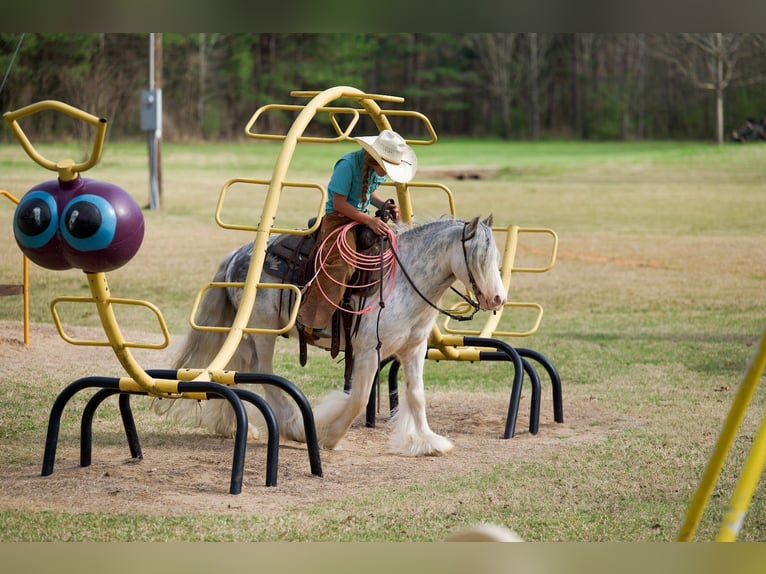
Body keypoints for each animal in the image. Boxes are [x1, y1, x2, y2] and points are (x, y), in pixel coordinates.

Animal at [153, 215, 506, 456]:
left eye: (497, 258)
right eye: (479, 257)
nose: (498, 299)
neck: (405, 280)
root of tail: (237, 256)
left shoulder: (414, 349)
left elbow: (417, 395)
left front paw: (428, 442)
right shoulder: (368, 350)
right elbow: (358, 398)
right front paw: (328, 434)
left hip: (246, 334)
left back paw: (231, 426)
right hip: (263, 332)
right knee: (262, 370)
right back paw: (294, 426)